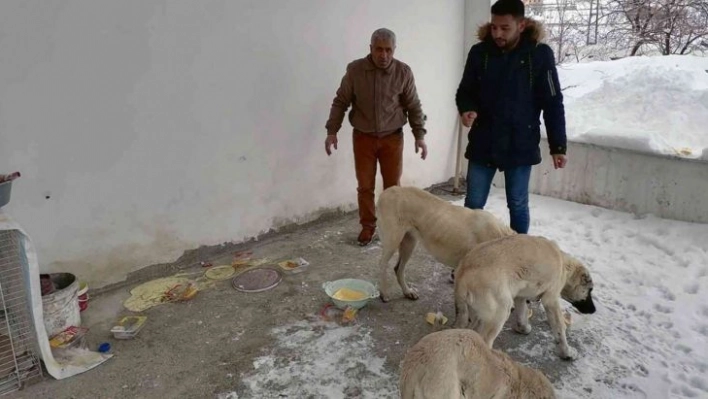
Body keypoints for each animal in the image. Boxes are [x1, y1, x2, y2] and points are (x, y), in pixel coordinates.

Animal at [376, 186, 516, 302]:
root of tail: (386, 192)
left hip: (409, 244)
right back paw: (384, 293)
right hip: (392, 241)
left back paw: (407, 291)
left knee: (398, 268)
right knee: (382, 264)